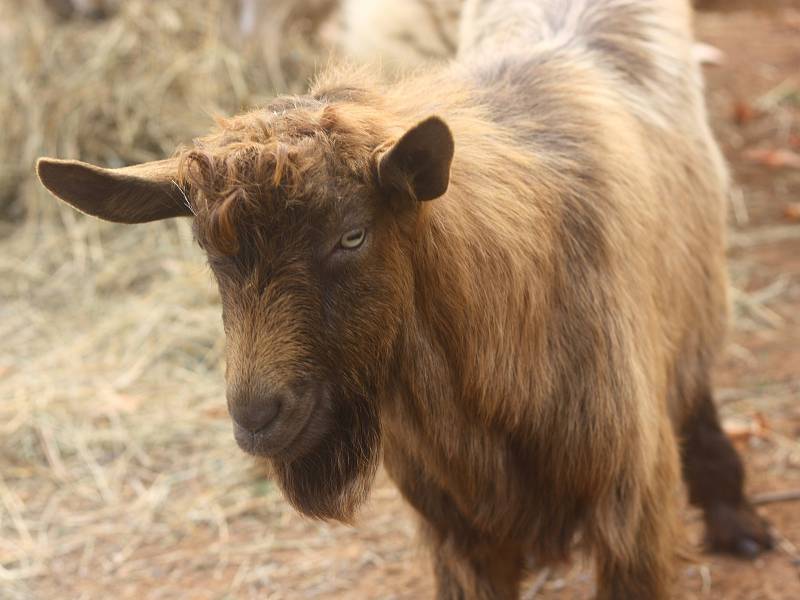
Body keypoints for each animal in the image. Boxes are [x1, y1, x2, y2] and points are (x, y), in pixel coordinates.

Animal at [34, 1, 772, 600]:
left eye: (353, 235)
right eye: (210, 252)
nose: (256, 416)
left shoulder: (629, 511)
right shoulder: (457, 533)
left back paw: (737, 517)